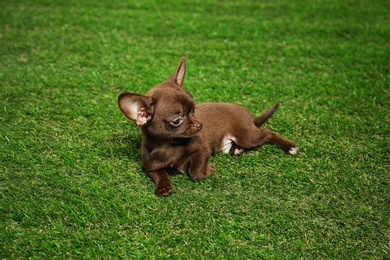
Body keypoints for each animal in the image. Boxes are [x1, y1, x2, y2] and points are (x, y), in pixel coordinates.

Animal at [117, 56, 298, 195]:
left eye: (193, 109)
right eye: (177, 120)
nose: (200, 125)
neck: (169, 146)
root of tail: (248, 113)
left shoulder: (202, 150)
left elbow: (195, 171)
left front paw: (207, 171)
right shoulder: (149, 168)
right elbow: (159, 174)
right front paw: (163, 187)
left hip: (247, 136)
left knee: (267, 132)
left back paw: (289, 147)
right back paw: (236, 150)